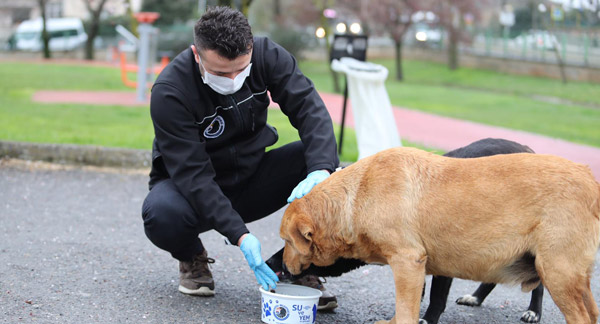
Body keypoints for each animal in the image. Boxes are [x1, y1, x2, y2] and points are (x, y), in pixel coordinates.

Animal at [282, 147, 600, 324]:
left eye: (286, 241)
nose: (283, 267)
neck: (357, 195)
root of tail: (590, 178)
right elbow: (408, 305)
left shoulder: (408, 261)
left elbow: (408, 310)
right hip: (566, 275)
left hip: (556, 271)